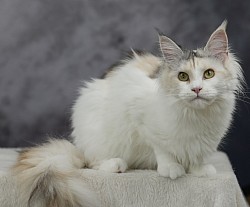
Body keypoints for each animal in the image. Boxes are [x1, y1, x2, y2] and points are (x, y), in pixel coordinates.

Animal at [11, 21, 244, 207]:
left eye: (209, 74)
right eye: (183, 77)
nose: (196, 89)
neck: (197, 117)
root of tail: (77, 147)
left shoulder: (204, 141)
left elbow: (197, 156)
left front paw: (199, 169)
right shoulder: (140, 118)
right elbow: (162, 148)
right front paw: (171, 168)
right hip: (99, 134)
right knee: (91, 162)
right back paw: (116, 165)